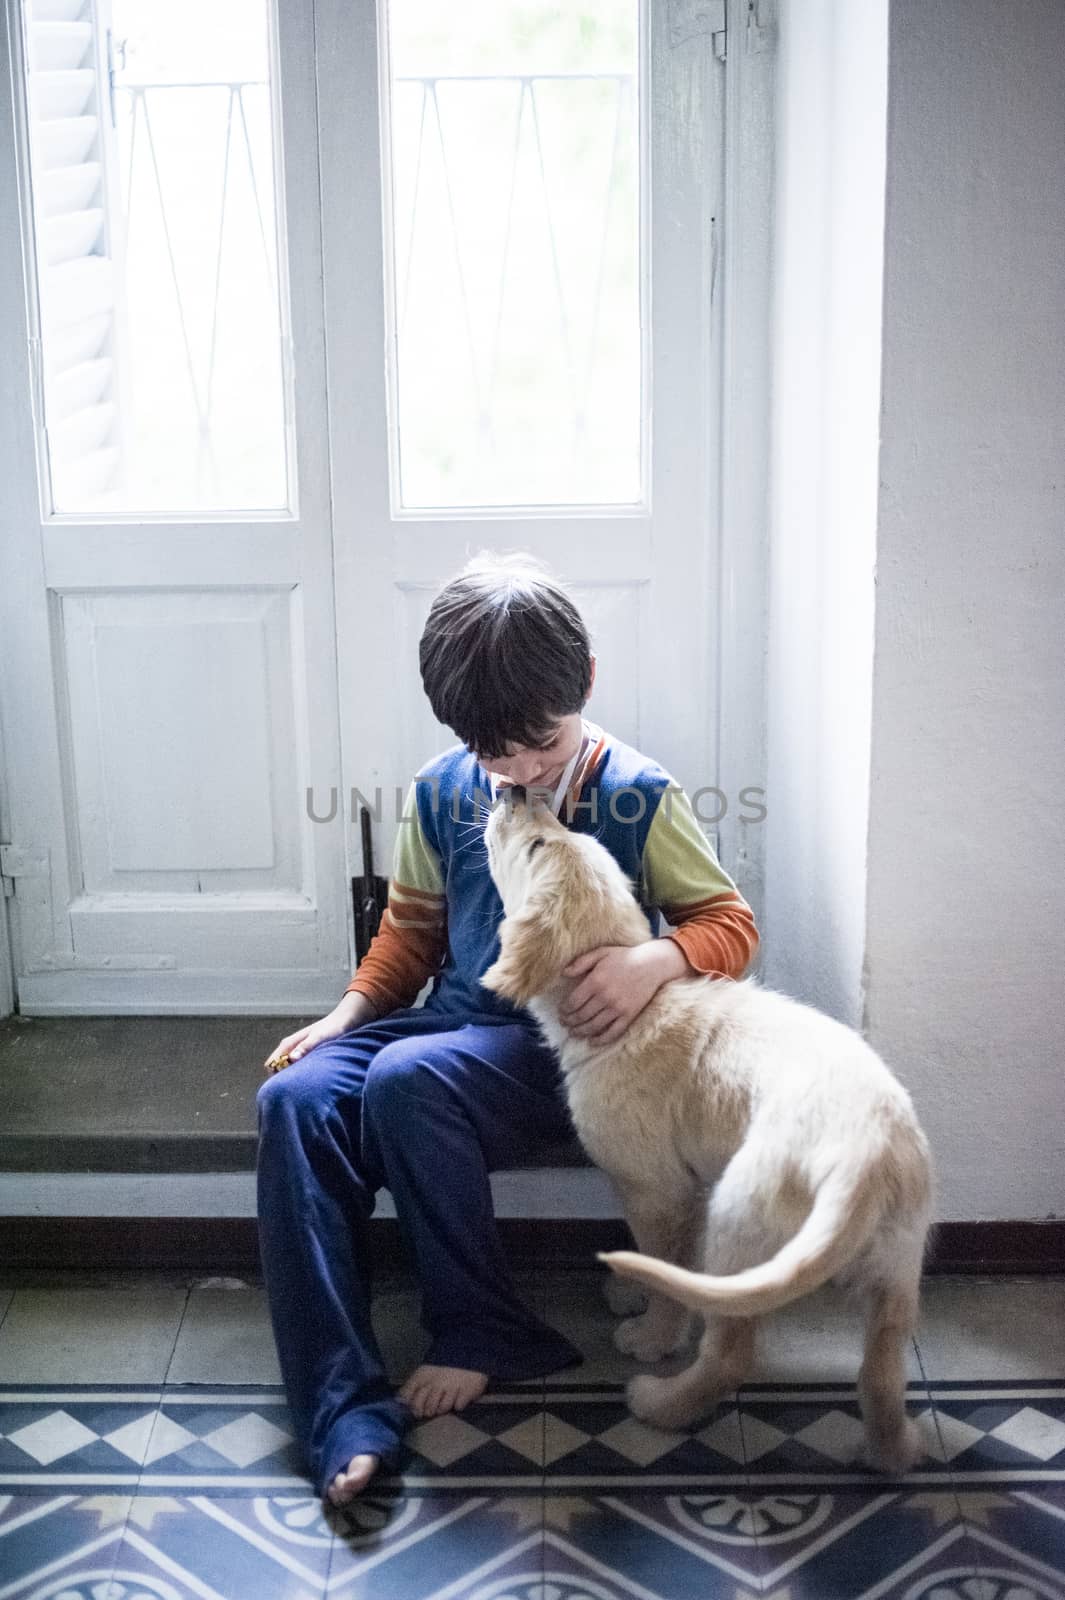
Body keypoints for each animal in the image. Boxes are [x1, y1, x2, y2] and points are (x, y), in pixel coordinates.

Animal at [479, 787, 927, 1472]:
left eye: (537, 845)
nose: (513, 790)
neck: (637, 1007)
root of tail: (865, 1159)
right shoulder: (680, 1190)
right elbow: (668, 1263)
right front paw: (633, 1292)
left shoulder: (656, 1190)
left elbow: (666, 1269)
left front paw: (651, 1331)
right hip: (899, 1273)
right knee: (881, 1375)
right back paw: (894, 1449)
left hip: (737, 1221)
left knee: (729, 1354)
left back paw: (660, 1402)